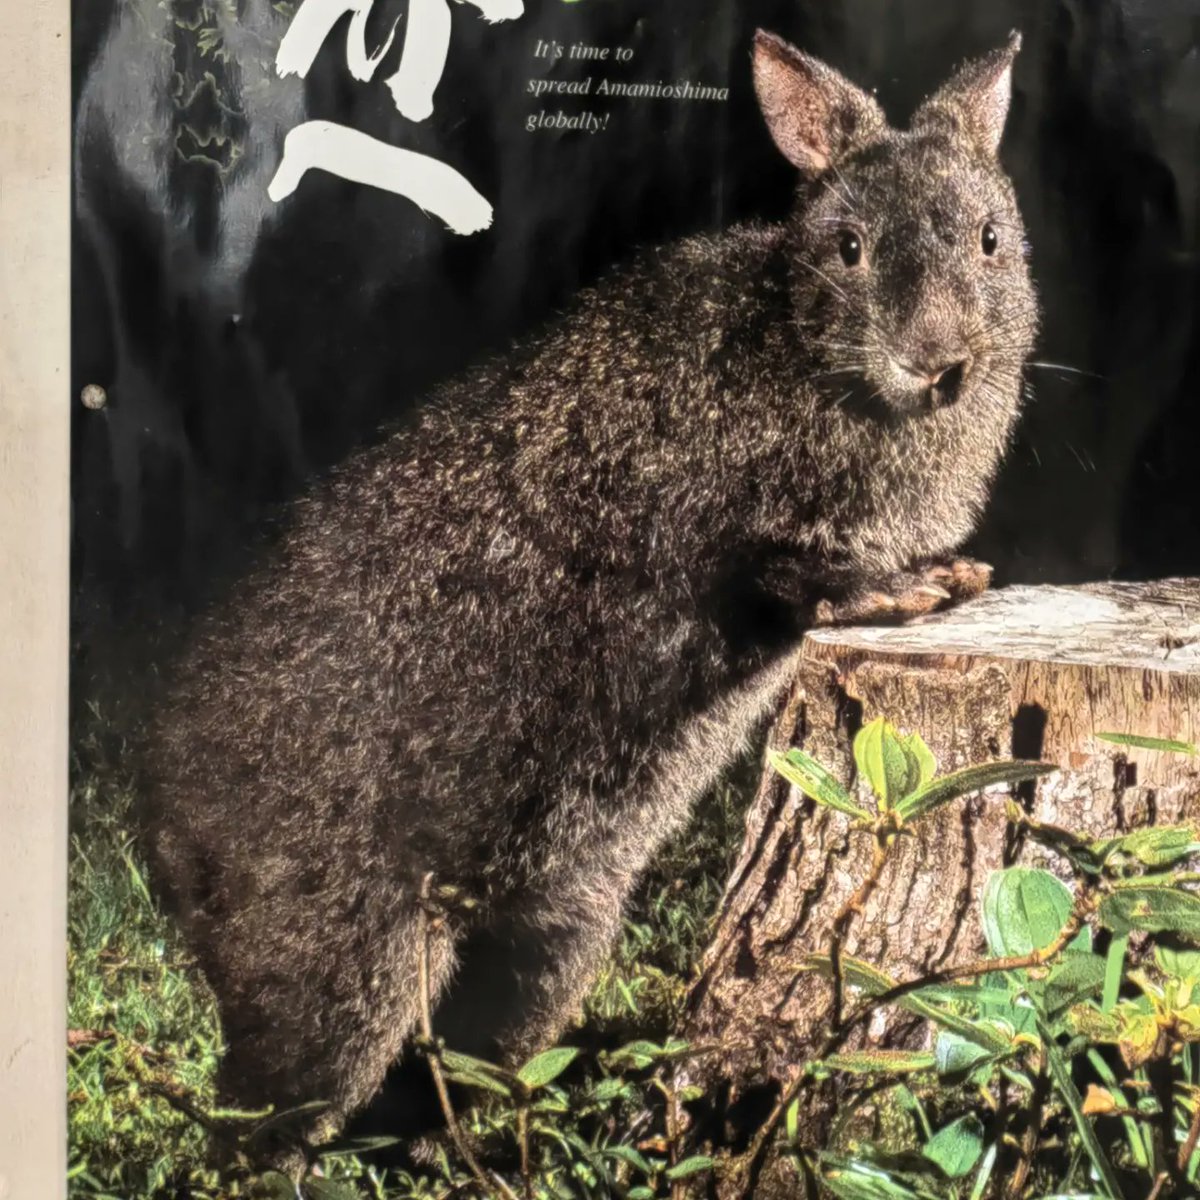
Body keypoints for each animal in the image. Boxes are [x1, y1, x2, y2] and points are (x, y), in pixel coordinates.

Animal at [139, 27, 1037, 1170]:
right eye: (848, 249)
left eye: (989, 240)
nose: (939, 363)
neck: (802, 348)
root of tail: (160, 826)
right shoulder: (711, 531)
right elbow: (790, 576)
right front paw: (915, 587)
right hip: (336, 966)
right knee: (258, 1111)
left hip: (551, 942)